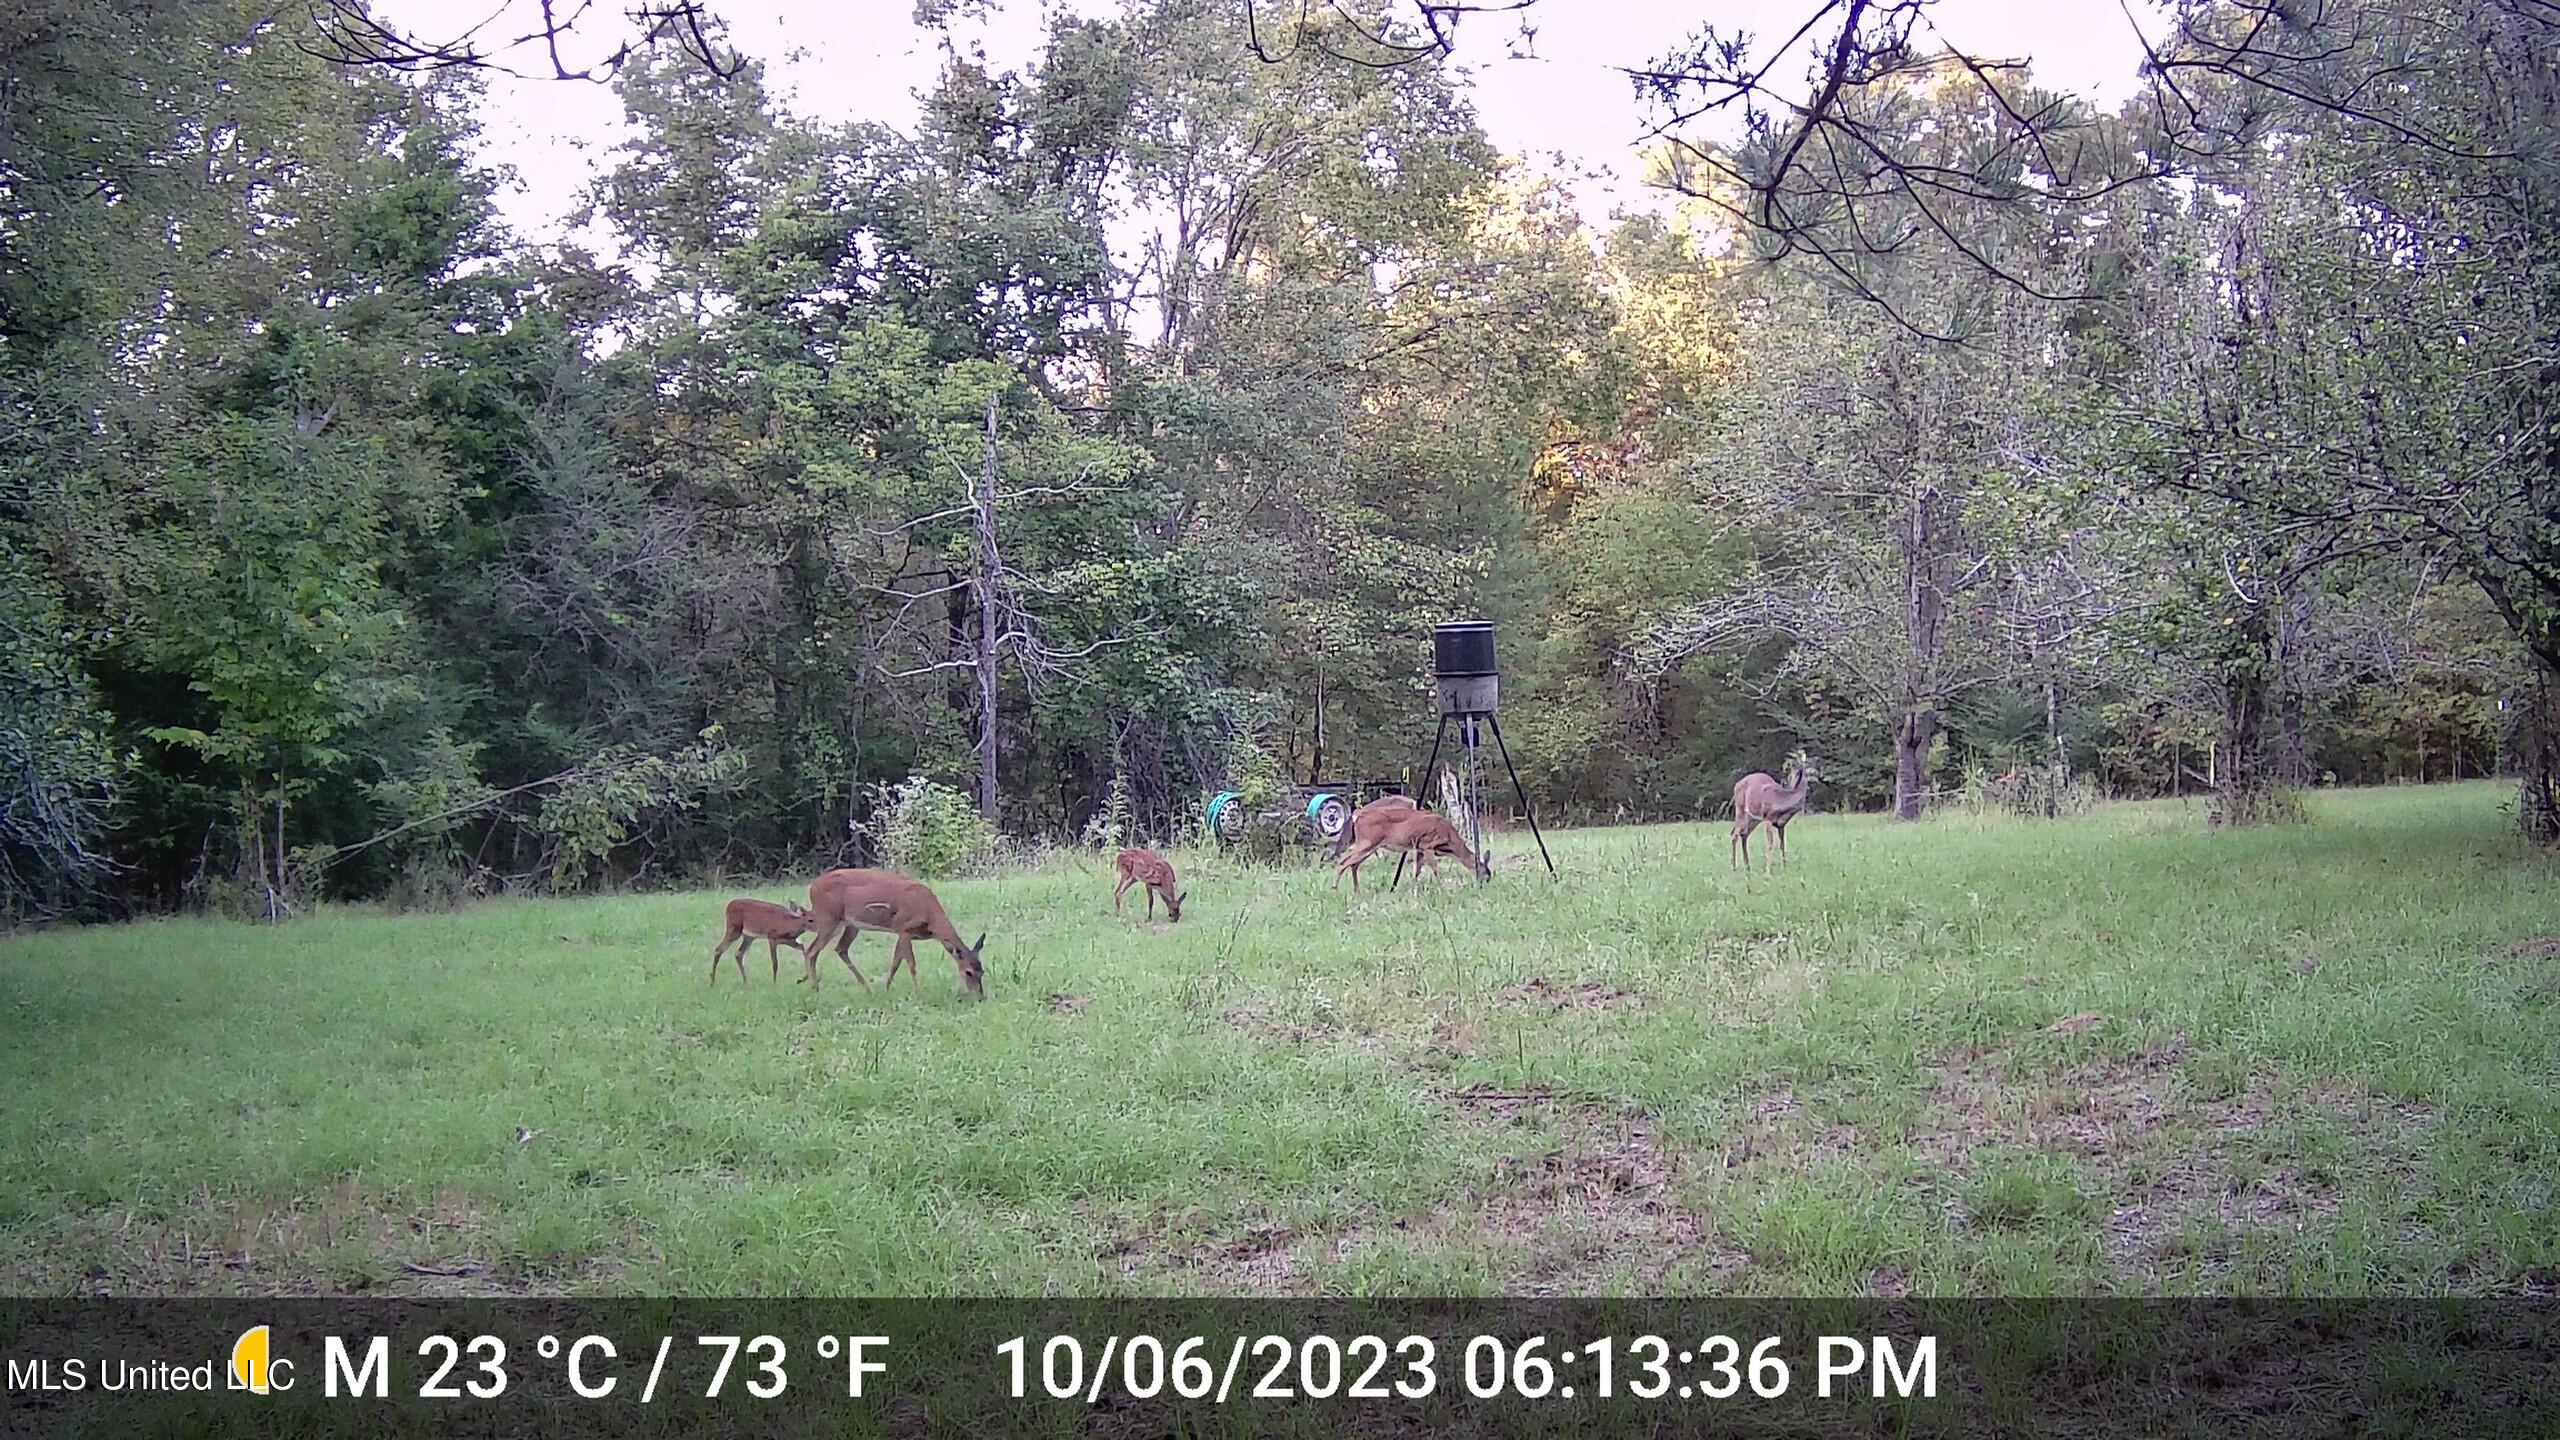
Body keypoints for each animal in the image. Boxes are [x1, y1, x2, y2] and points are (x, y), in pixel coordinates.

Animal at [799, 868, 987, 997]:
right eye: (968, 972)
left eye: (982, 972)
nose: (980, 996)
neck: (930, 916)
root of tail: (812, 887)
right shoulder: (903, 927)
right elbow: (911, 963)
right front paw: (919, 994)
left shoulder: (901, 932)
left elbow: (896, 961)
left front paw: (887, 989)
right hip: (829, 918)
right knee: (811, 950)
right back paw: (814, 988)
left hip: (850, 924)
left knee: (840, 949)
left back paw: (869, 989)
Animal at [1332, 802, 1487, 891]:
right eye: (1485, 870)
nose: (1486, 882)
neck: (1450, 841)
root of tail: (1356, 816)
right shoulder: (1427, 844)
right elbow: (1434, 869)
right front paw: (1441, 888)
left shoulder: (1419, 848)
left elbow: (1417, 871)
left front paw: (1414, 890)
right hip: (1367, 841)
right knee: (1343, 862)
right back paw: (1335, 888)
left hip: (1370, 845)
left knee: (1354, 864)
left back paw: (1357, 890)